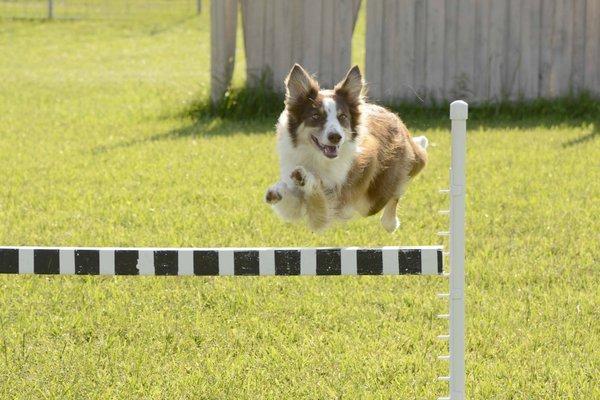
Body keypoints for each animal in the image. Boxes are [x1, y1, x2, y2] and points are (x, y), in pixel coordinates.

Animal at [264, 64, 428, 233]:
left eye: (342, 117)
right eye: (316, 116)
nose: (335, 137)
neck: (317, 157)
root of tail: (395, 117)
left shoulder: (335, 204)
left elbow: (319, 201)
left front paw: (305, 178)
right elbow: (290, 202)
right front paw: (277, 191)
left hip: (372, 199)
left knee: (398, 189)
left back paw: (391, 222)